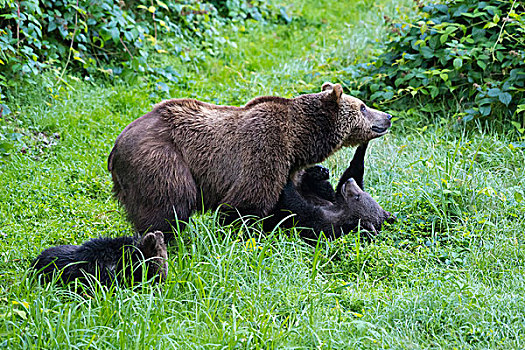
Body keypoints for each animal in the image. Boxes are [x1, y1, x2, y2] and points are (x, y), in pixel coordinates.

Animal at [108, 82, 390, 241]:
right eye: (363, 106)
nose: (387, 116)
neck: (299, 139)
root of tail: (115, 148)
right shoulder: (265, 148)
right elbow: (246, 203)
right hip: (162, 160)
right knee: (170, 207)